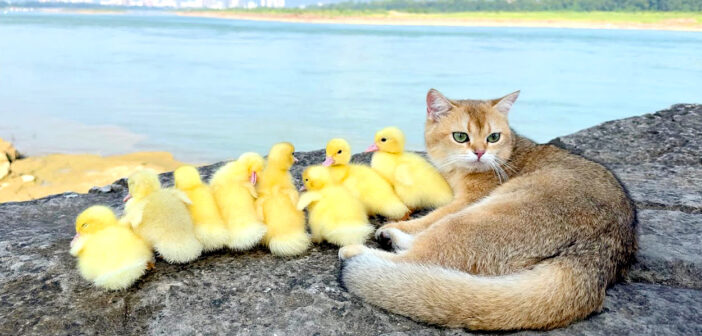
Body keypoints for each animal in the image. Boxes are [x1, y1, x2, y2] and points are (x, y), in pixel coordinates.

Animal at [338, 88, 640, 330]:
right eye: (461, 136)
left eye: (493, 137)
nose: (480, 152)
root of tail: (599, 253)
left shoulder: (466, 202)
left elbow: (431, 217)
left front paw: (399, 224)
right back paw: (392, 239)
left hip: (474, 220)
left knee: (418, 259)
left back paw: (362, 248)